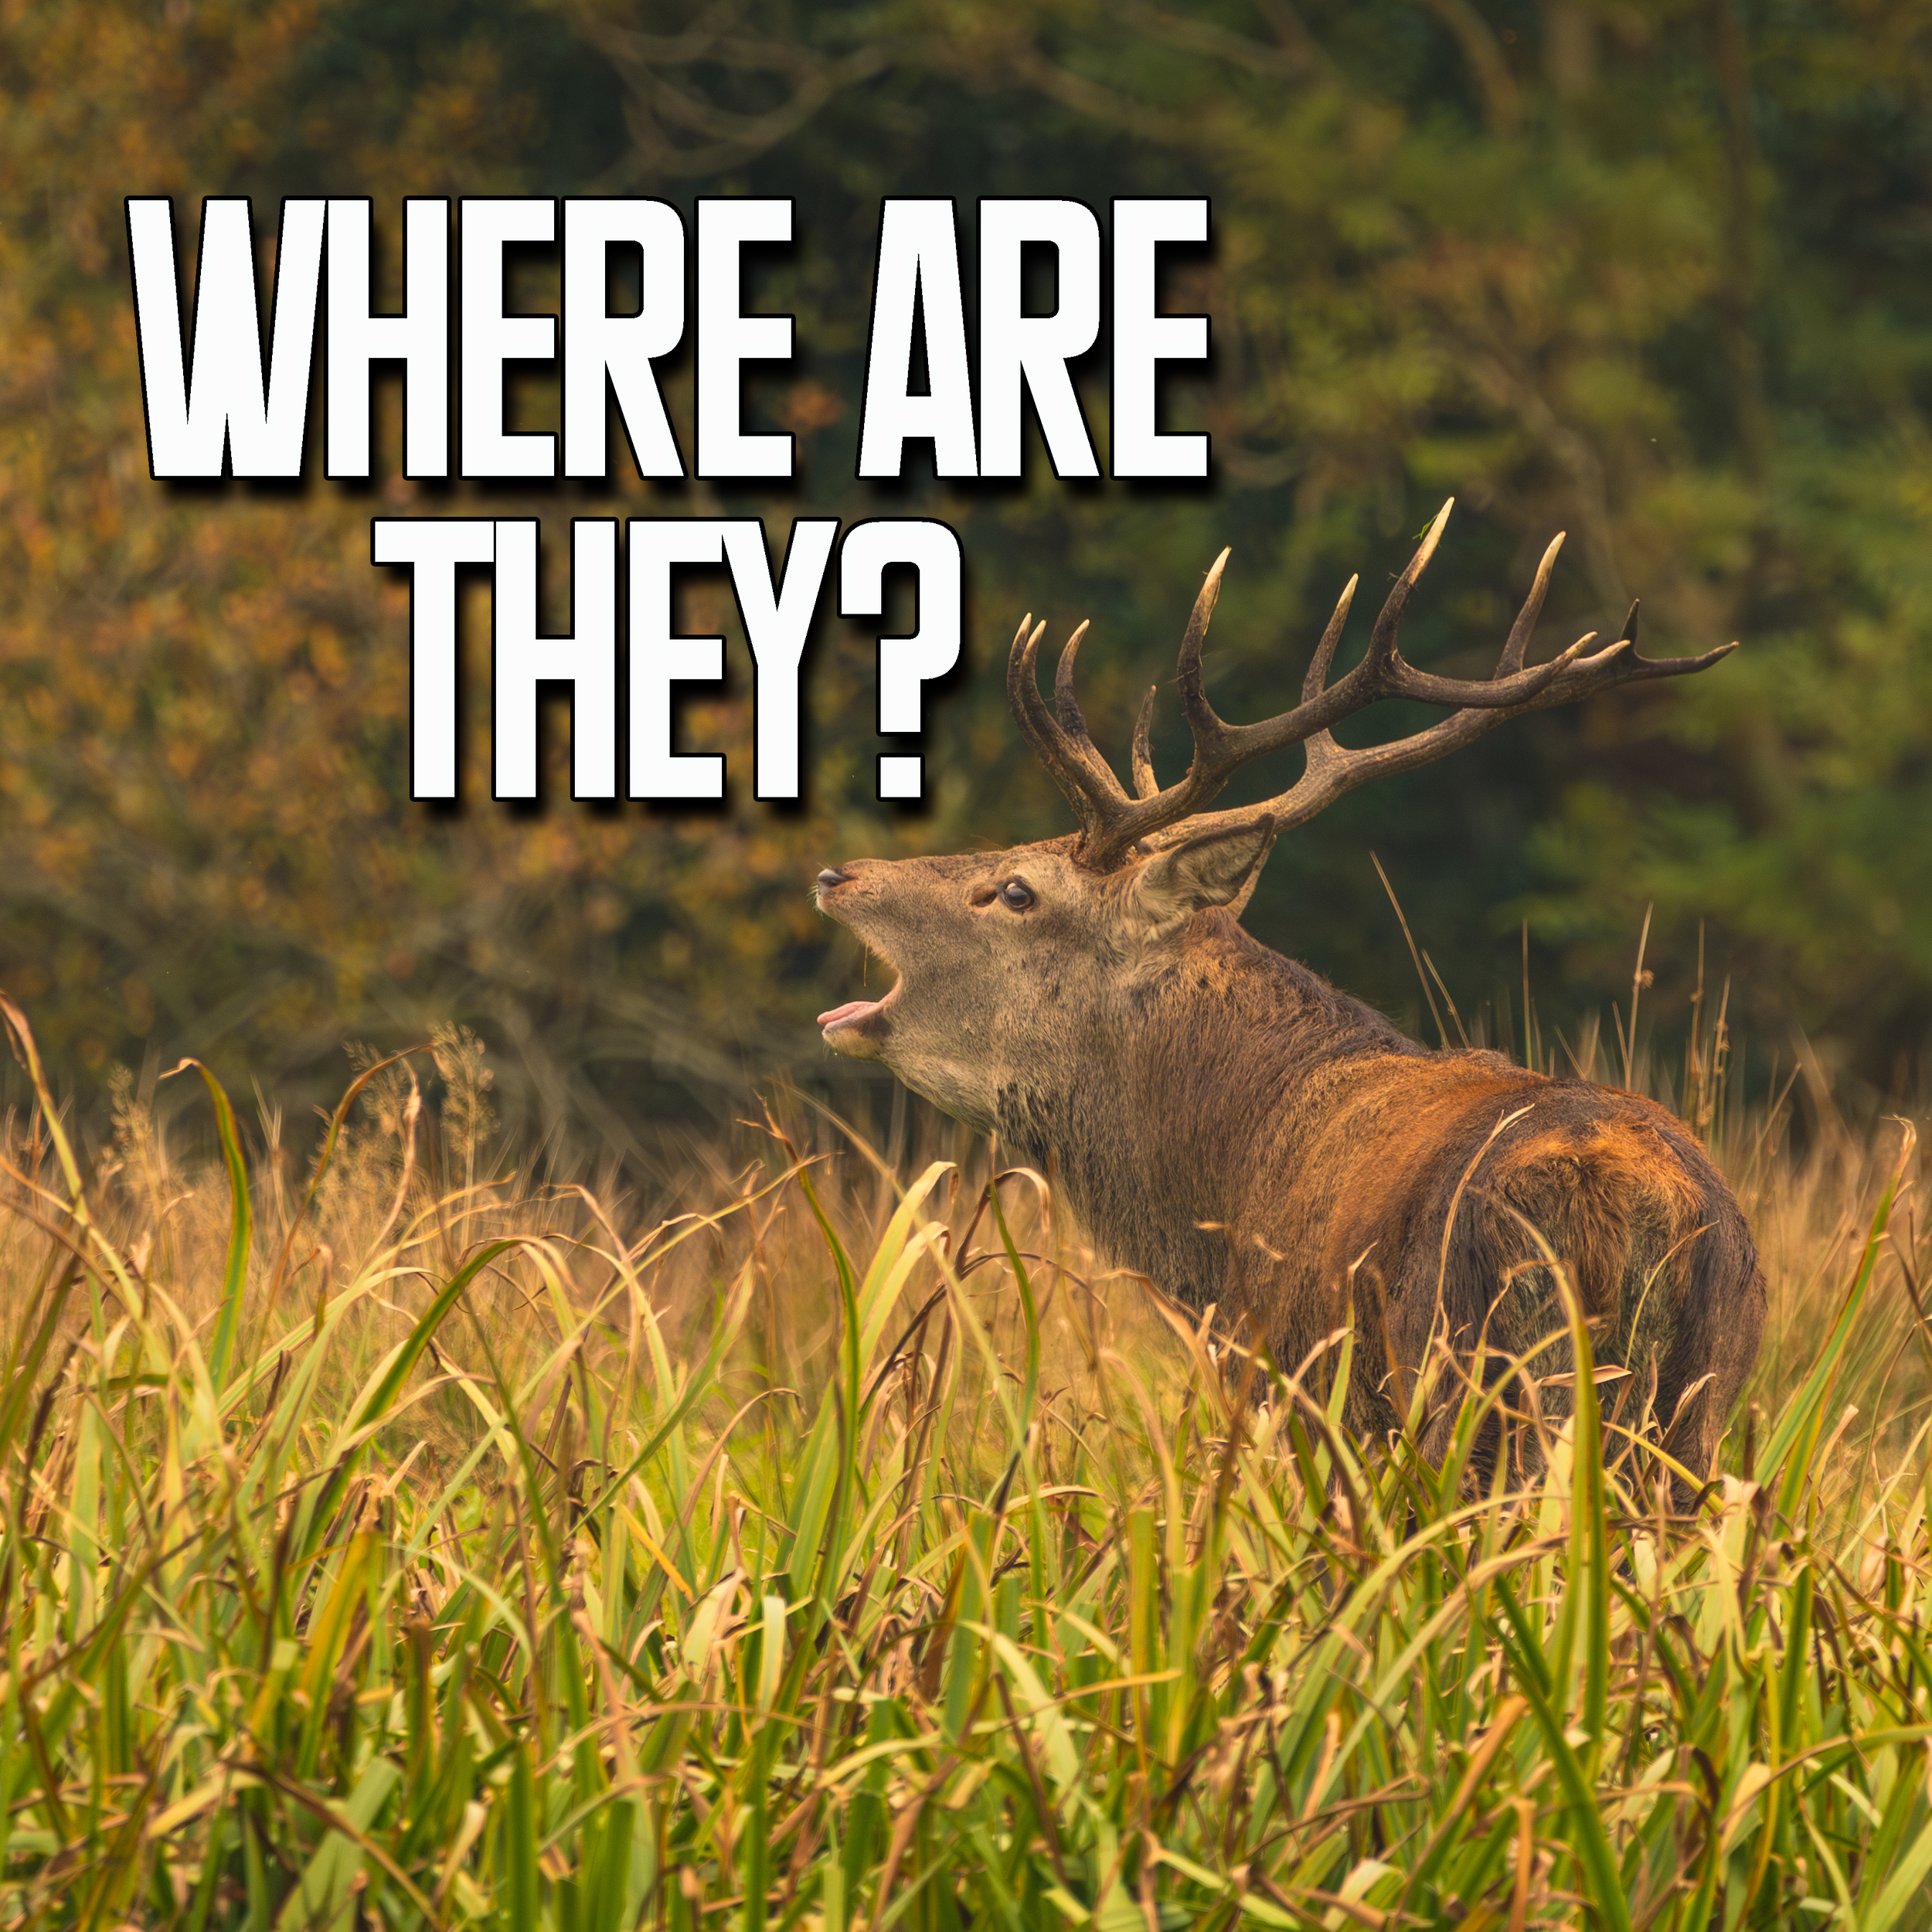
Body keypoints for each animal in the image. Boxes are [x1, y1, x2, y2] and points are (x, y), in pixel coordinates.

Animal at [814, 501, 1766, 1480]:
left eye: (1015, 891)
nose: (838, 873)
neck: (1216, 1187)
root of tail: (1620, 1203)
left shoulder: (1292, 1383)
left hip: (1464, 1381)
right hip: (1696, 1408)